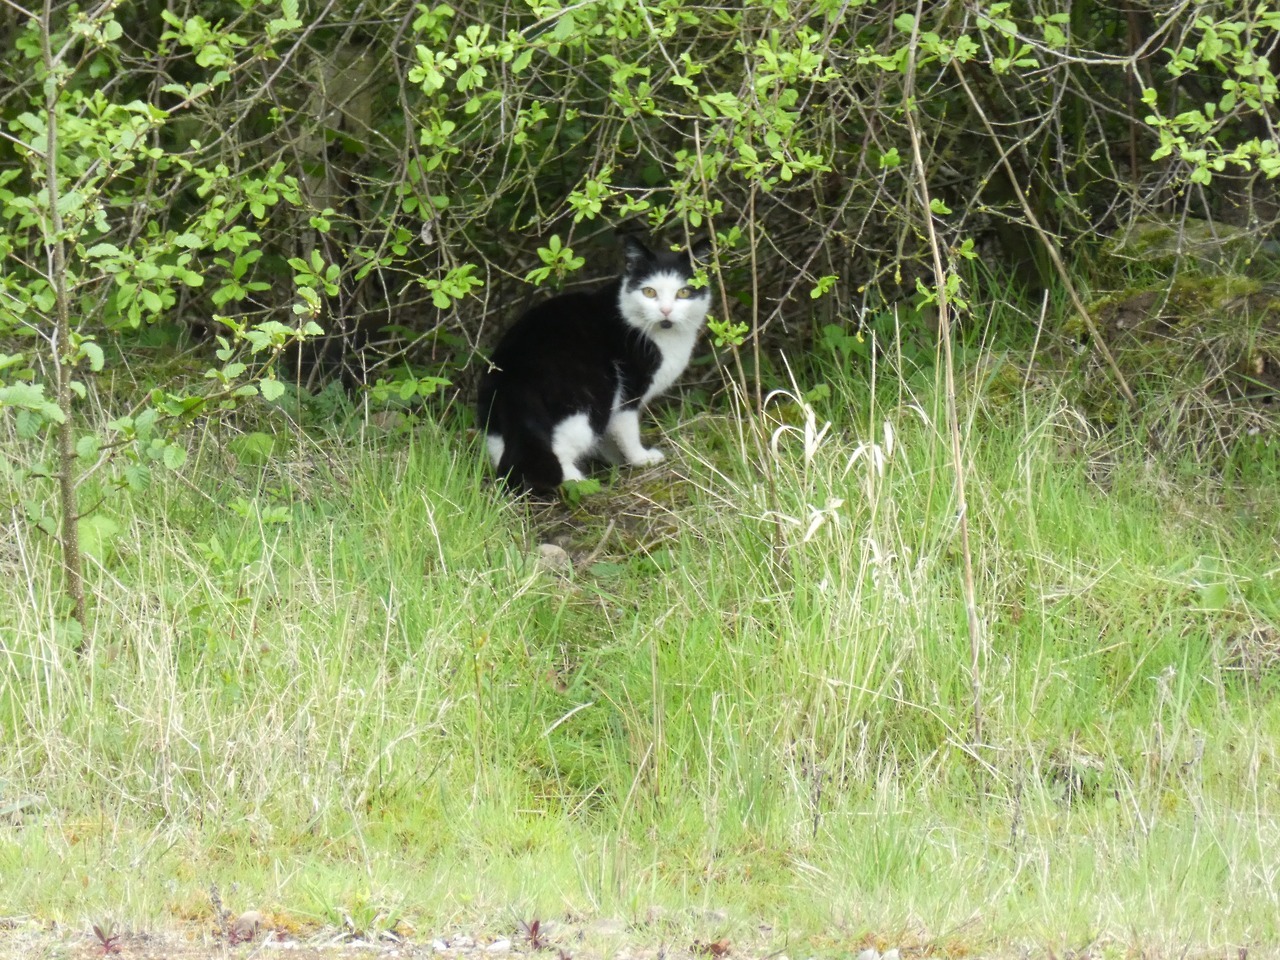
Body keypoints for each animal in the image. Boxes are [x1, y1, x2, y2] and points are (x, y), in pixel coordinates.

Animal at [478, 235, 712, 492]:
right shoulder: (628, 390)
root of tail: (515, 376)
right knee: (559, 452)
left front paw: (615, 460)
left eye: (684, 292)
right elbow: (626, 430)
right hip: (592, 400)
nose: (666, 311)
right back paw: (580, 483)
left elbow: (610, 436)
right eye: (649, 292)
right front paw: (641, 459)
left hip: (494, 416)